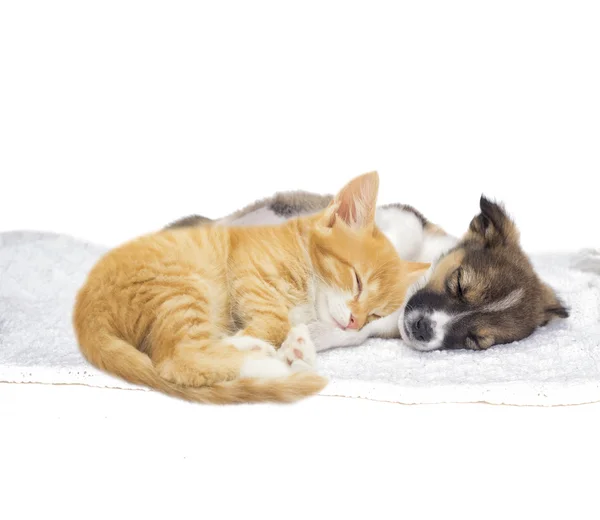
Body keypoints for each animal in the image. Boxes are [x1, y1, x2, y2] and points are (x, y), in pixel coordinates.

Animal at [72, 173, 426, 404]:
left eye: (376, 314)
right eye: (357, 280)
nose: (354, 322)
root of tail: (84, 306)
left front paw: (295, 347)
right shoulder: (247, 269)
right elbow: (274, 319)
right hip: (183, 284)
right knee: (176, 359)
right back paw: (262, 361)